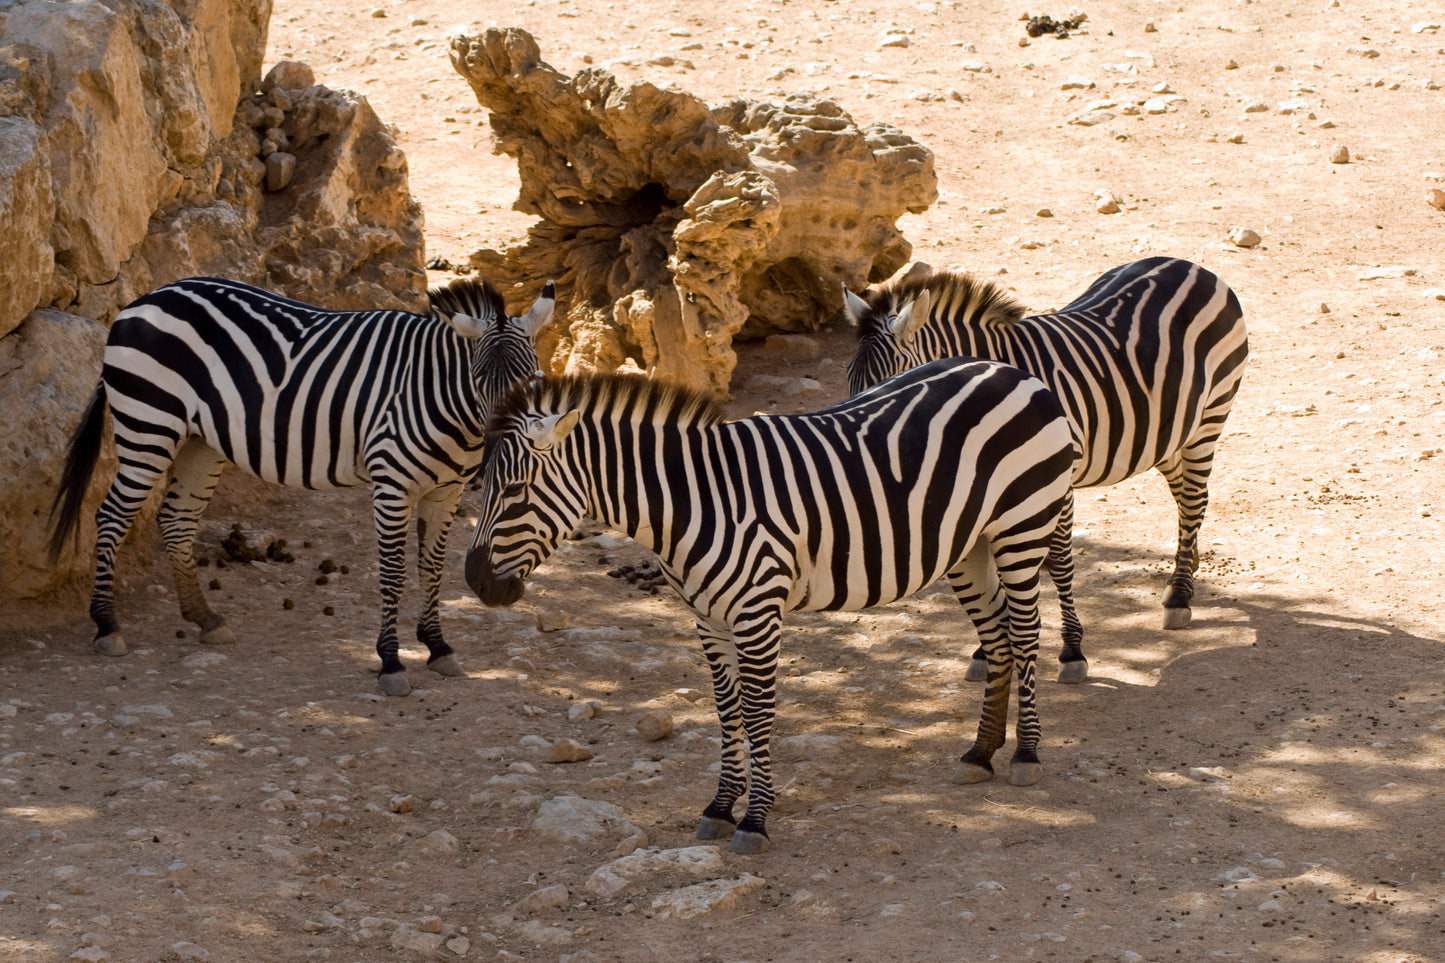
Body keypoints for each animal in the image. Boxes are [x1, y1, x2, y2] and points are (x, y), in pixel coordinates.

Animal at [47, 275, 555, 697]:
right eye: (478, 378)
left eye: (530, 379)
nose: (499, 450)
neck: (441, 397)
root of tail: (145, 298)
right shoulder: (392, 484)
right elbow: (393, 573)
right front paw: (391, 662)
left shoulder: (444, 492)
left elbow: (431, 569)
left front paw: (438, 647)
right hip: (148, 423)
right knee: (112, 515)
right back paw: (107, 625)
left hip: (198, 441)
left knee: (176, 520)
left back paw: (204, 618)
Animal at [464, 359, 1076, 853]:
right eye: (481, 485)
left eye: (514, 490)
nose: (474, 582)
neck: (691, 503)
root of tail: (1013, 371)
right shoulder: (708, 619)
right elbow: (726, 710)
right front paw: (720, 806)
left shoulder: (757, 613)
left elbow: (758, 714)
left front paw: (754, 820)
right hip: (968, 547)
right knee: (997, 639)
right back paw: (981, 752)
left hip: (1022, 530)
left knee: (1025, 635)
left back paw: (1026, 755)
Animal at [844, 256, 1249, 684]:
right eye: (850, 382)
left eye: (889, 382)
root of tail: (1186, 265)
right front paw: (985, 650)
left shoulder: (1057, 480)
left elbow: (1058, 562)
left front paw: (1071, 651)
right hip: (1165, 432)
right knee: (1189, 496)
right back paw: (1187, 570)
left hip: (1210, 415)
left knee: (1192, 500)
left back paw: (1179, 596)